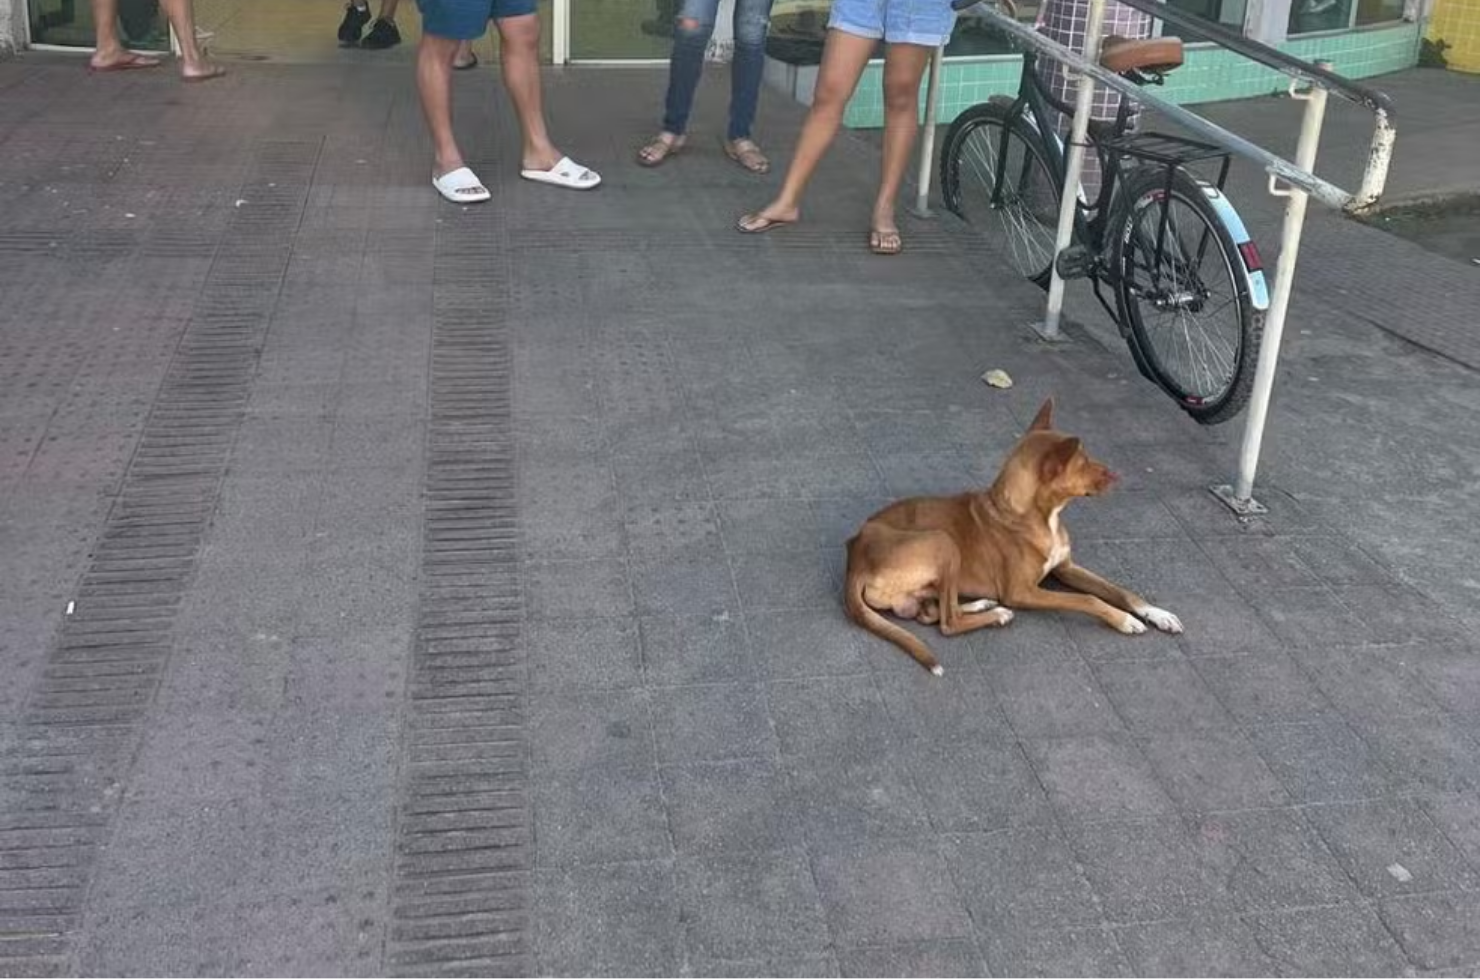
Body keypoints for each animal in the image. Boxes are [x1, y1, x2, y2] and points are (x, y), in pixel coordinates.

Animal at [846, 399, 1178, 675]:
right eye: (1083, 463)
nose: (1116, 475)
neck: (1039, 517)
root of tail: (855, 556)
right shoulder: (1022, 591)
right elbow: (1089, 598)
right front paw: (1124, 620)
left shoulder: (1066, 568)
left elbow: (1120, 590)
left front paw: (1156, 613)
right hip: (943, 542)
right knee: (947, 623)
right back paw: (996, 614)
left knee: (932, 613)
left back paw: (982, 605)